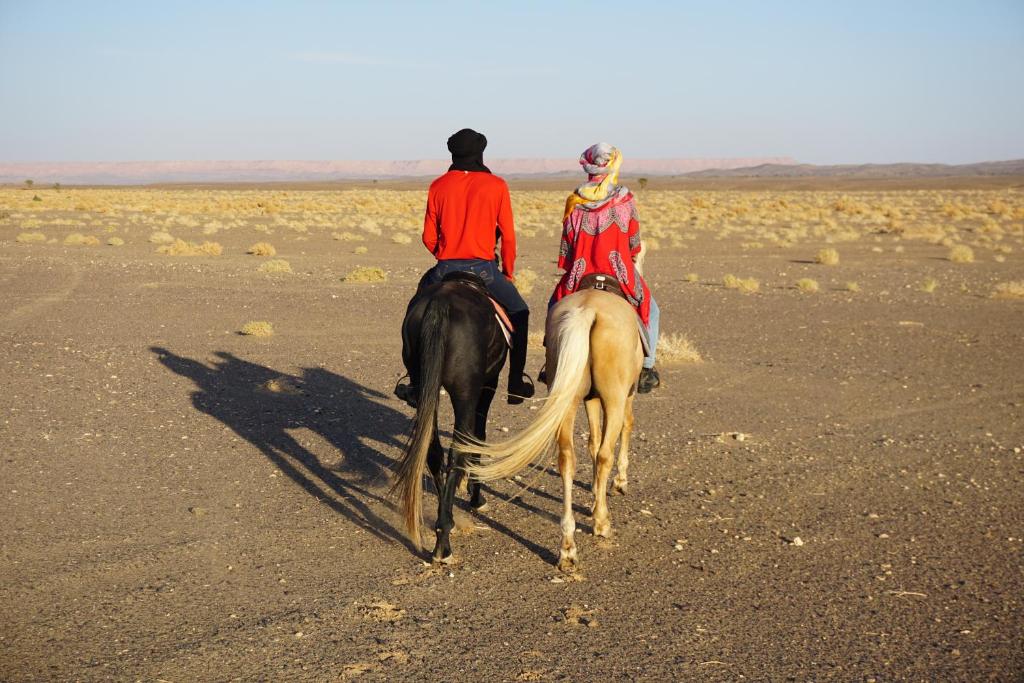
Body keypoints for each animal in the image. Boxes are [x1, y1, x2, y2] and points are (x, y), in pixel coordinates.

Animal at [391, 270, 507, 561]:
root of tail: (440, 304)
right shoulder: (488, 386)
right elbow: (478, 437)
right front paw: (476, 497)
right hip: (466, 392)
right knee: (457, 450)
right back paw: (443, 543)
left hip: (425, 389)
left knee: (433, 450)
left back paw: (445, 526)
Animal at [468, 288, 643, 573]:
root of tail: (588, 311)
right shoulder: (626, 394)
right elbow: (625, 429)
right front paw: (618, 484)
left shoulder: (590, 399)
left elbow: (592, 441)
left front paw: (594, 491)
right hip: (614, 397)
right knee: (605, 452)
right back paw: (601, 523)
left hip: (567, 399)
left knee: (567, 459)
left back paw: (568, 548)